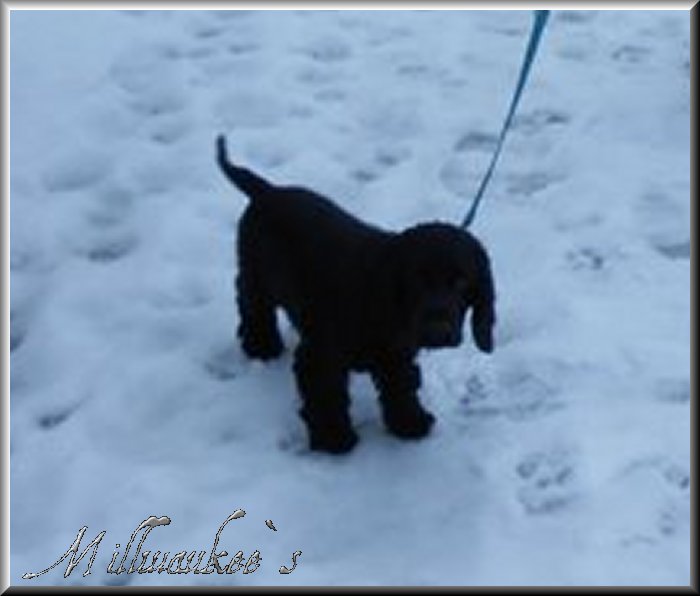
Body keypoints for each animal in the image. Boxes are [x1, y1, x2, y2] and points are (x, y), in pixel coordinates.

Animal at [216, 135, 496, 454]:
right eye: (417, 279)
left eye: (462, 281)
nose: (437, 331)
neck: (384, 301)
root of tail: (268, 191)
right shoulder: (321, 353)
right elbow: (326, 394)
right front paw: (334, 439)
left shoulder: (397, 353)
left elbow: (400, 385)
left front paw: (410, 422)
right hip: (257, 274)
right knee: (251, 304)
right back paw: (262, 346)